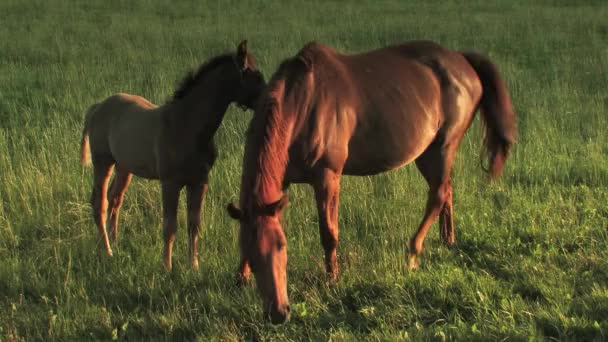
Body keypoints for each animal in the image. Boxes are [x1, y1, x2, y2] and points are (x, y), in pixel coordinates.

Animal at [79, 39, 264, 270]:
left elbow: (194, 224)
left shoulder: (199, 182)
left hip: (124, 168)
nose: (271, 100)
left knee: (115, 198)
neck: (187, 126)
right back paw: (107, 251)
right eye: (255, 75)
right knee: (100, 203)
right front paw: (167, 267)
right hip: (103, 163)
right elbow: (170, 226)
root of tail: (97, 108)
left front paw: (193, 266)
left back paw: (114, 241)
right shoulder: (170, 183)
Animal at [226, 40, 516, 324]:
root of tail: (462, 60)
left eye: (282, 247)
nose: (278, 313)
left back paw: (413, 251)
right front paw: (241, 279)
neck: (303, 102)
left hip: (443, 147)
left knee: (438, 195)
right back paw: (448, 241)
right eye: (248, 249)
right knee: (446, 191)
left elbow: (329, 233)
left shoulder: (327, 177)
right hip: (429, 154)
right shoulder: (282, 183)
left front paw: (332, 279)